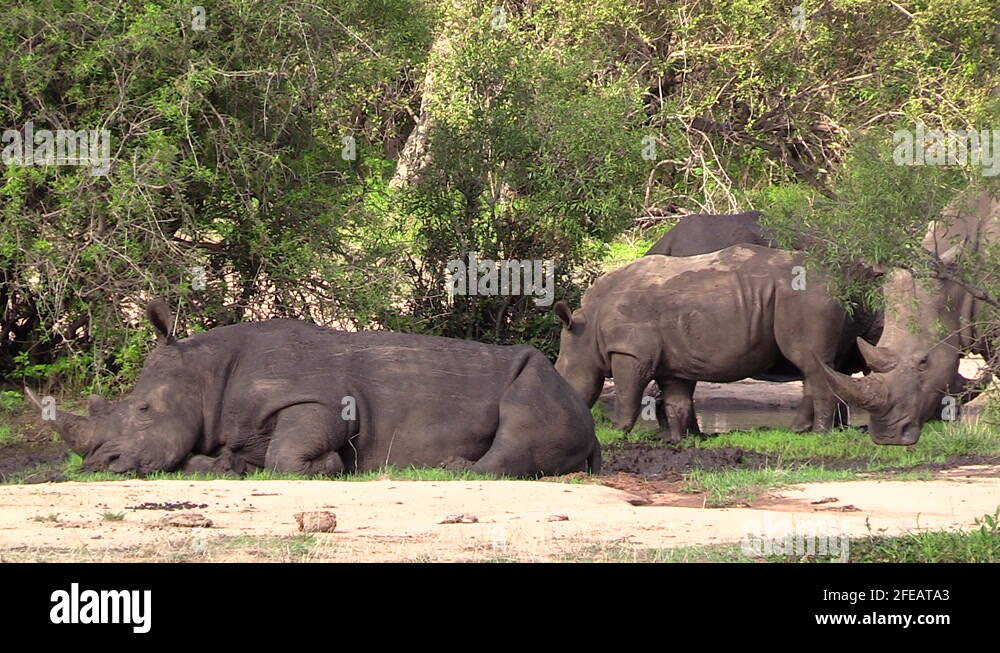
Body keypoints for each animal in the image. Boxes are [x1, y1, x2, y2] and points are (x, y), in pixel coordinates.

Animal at [25, 300, 600, 474]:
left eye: (144, 409)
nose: (100, 464)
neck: (206, 374)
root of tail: (596, 435)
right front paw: (225, 465)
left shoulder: (321, 400)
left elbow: (289, 453)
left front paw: (330, 467)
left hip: (547, 385)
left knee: (521, 413)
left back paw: (453, 469)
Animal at [552, 243, 872, 438]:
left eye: (560, 374)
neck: (586, 329)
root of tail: (839, 282)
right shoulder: (672, 360)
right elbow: (676, 399)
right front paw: (678, 439)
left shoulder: (630, 352)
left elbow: (626, 392)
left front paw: (617, 431)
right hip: (801, 295)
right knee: (809, 366)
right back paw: (797, 430)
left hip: (805, 295)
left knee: (811, 363)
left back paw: (818, 433)